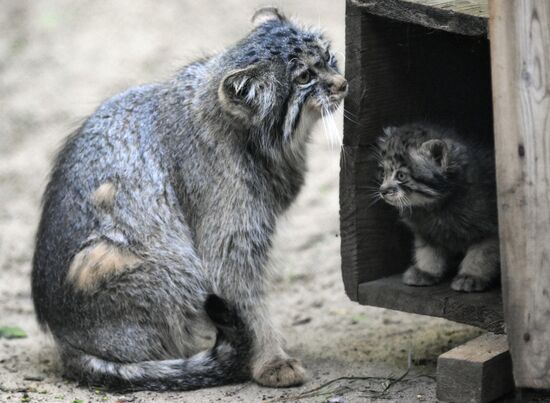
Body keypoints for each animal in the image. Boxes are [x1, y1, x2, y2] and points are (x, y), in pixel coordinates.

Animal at [30, 9, 348, 392]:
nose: (343, 83)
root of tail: (65, 339)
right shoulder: (230, 237)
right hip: (167, 263)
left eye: (327, 55)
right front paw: (272, 360)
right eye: (304, 77)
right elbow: (247, 301)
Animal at [378, 123, 502, 294]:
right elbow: (428, 251)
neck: (437, 206)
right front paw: (426, 271)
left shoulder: (490, 229)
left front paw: (471, 276)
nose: (382, 191)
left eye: (401, 176)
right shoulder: (426, 231)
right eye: (383, 173)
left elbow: (481, 254)